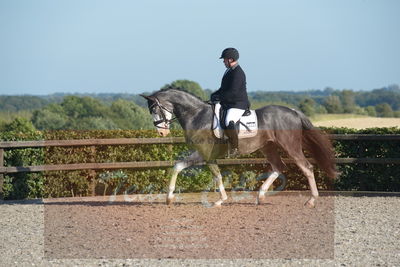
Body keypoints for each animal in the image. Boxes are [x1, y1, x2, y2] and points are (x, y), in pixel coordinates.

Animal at [141, 89, 338, 208]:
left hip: (290, 146)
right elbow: (179, 166)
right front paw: (169, 198)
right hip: (268, 147)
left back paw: (311, 200)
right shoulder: (202, 154)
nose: (162, 132)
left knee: (306, 167)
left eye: (155, 110)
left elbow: (215, 175)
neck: (197, 115)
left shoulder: (206, 154)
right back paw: (260, 196)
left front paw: (220, 200)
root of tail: (293, 111)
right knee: (278, 167)